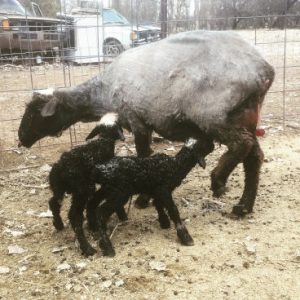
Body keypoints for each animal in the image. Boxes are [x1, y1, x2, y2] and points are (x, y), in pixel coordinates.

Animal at [17, 31, 274, 217]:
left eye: (33, 114)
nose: (21, 139)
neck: (102, 92)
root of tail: (264, 69)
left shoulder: (136, 120)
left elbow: (142, 155)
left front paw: (142, 199)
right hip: (246, 115)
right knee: (254, 156)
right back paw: (244, 207)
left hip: (215, 115)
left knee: (242, 145)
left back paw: (218, 180)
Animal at [48, 112, 126, 255]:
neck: (103, 141)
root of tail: (60, 168)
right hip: (82, 190)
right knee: (74, 216)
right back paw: (87, 248)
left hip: (58, 188)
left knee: (53, 202)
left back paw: (58, 224)